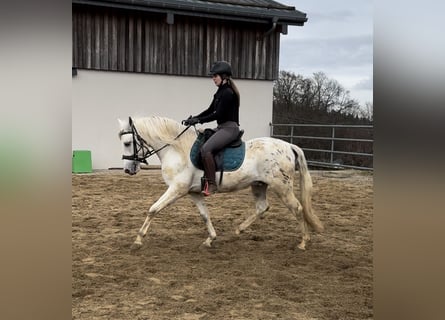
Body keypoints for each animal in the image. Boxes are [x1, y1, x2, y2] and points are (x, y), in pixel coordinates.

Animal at [118, 116, 322, 251]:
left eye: (128, 143)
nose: (128, 169)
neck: (177, 149)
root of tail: (289, 146)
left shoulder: (176, 190)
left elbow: (153, 209)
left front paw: (138, 240)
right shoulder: (194, 193)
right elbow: (204, 215)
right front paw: (211, 239)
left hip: (282, 187)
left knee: (297, 208)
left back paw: (303, 242)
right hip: (258, 184)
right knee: (262, 207)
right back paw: (239, 229)